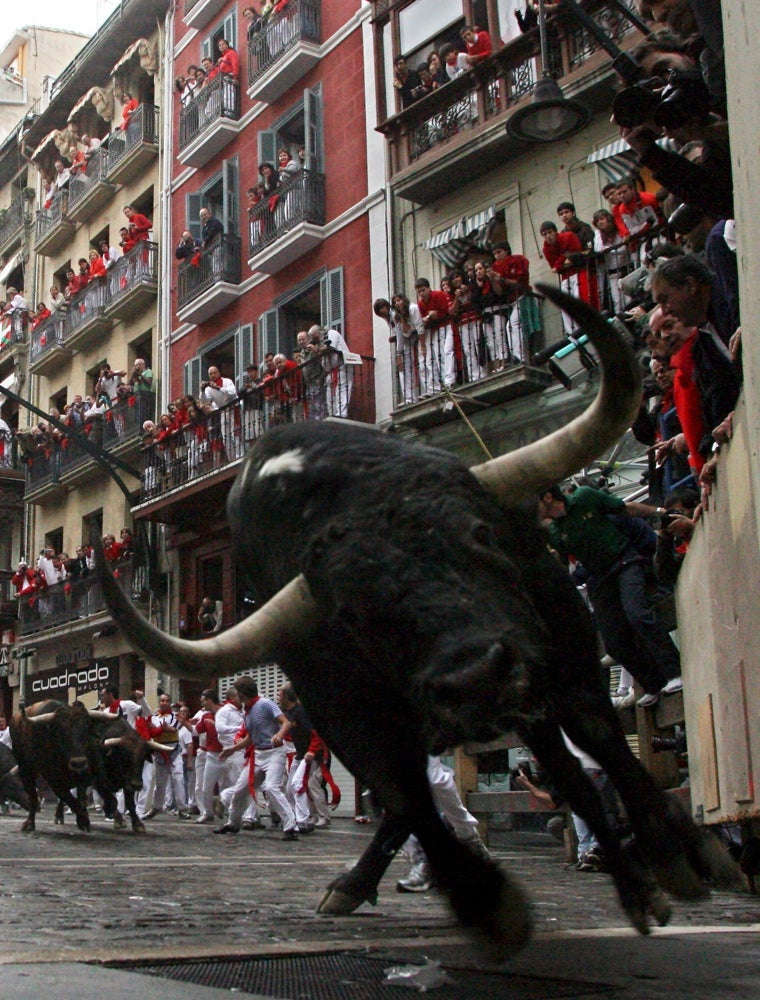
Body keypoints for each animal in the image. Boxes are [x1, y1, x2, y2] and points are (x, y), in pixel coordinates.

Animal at [96, 288, 744, 952]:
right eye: (354, 616)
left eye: (482, 538)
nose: (475, 679)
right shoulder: (343, 707)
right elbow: (407, 796)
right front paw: (488, 899)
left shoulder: (566, 643)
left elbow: (601, 740)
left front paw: (673, 857)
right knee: (453, 794)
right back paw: (366, 882)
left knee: (572, 769)